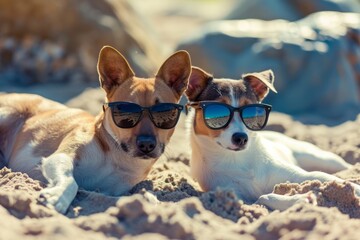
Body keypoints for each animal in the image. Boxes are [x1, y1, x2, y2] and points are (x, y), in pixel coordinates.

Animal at [0, 46, 191, 213]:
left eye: (165, 113)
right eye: (125, 110)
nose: (146, 144)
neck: (118, 154)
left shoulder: (114, 190)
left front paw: (149, 199)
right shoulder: (62, 156)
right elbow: (71, 181)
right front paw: (58, 197)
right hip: (7, 113)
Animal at [186, 66, 360, 210]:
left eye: (252, 110)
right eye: (217, 112)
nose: (241, 138)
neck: (238, 159)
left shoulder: (298, 175)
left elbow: (324, 177)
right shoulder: (233, 196)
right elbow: (263, 197)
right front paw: (300, 199)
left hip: (321, 158)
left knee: (342, 166)